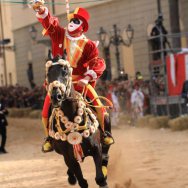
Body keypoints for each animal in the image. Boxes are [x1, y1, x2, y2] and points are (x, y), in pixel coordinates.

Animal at [44, 57, 111, 188]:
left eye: (65, 72)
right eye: (48, 74)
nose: (56, 96)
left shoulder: (96, 148)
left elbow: (100, 178)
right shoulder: (69, 157)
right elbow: (82, 181)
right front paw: (73, 177)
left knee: (106, 154)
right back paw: (71, 177)